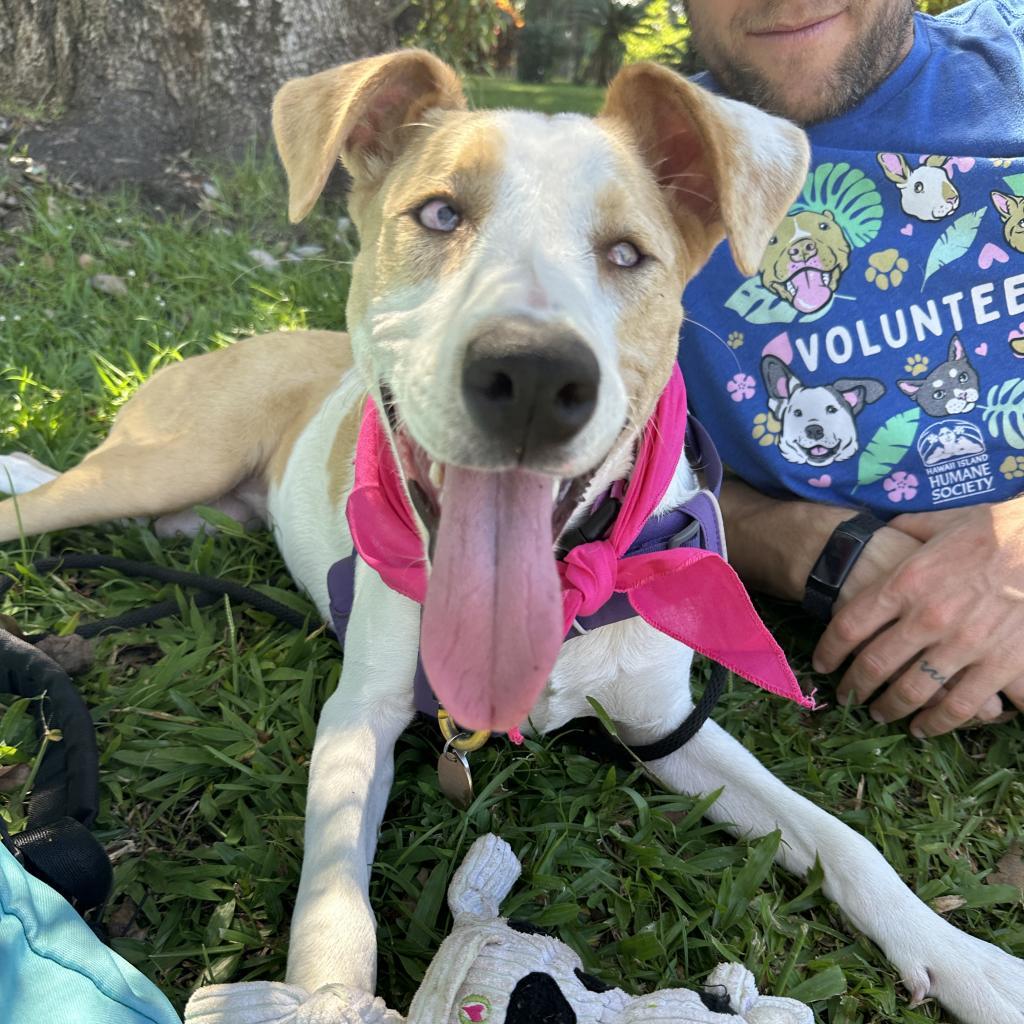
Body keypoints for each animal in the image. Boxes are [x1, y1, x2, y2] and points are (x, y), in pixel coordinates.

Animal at [2, 49, 1024, 1024]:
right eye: (439, 213)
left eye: (628, 253)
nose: (532, 376)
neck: (566, 597)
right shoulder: (359, 716)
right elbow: (336, 902)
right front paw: (328, 997)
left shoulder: (665, 728)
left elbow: (837, 838)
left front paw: (969, 961)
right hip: (168, 461)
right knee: (46, 495)